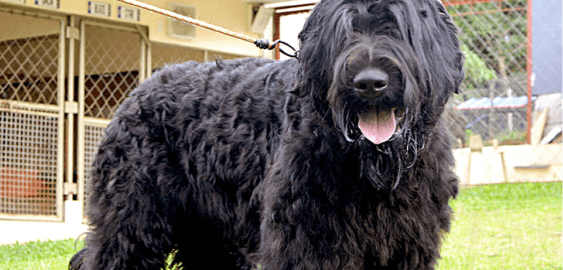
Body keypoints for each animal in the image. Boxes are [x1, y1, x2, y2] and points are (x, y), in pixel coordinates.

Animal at [70, 1, 464, 268]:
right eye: (343, 32)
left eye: (398, 27)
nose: (369, 83)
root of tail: (139, 90)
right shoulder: (308, 240)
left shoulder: (408, 243)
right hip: (132, 222)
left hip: (210, 233)